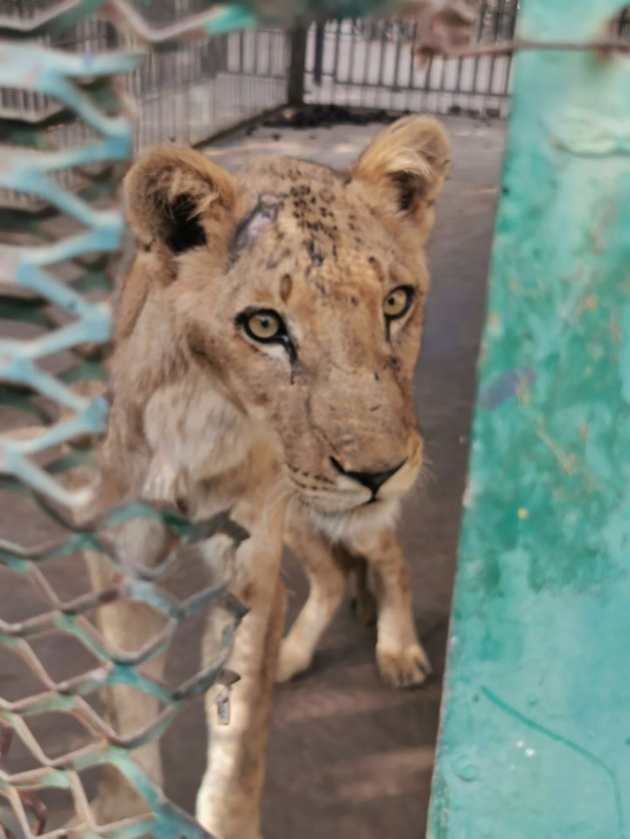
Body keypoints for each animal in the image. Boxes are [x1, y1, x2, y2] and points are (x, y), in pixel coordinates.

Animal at [79, 116, 452, 839]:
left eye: (396, 302)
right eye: (264, 325)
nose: (380, 471)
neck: (200, 413)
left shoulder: (250, 566)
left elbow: (237, 746)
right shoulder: (125, 560)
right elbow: (128, 710)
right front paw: (121, 812)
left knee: (385, 557)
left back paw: (395, 649)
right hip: (305, 512)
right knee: (331, 574)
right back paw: (295, 654)